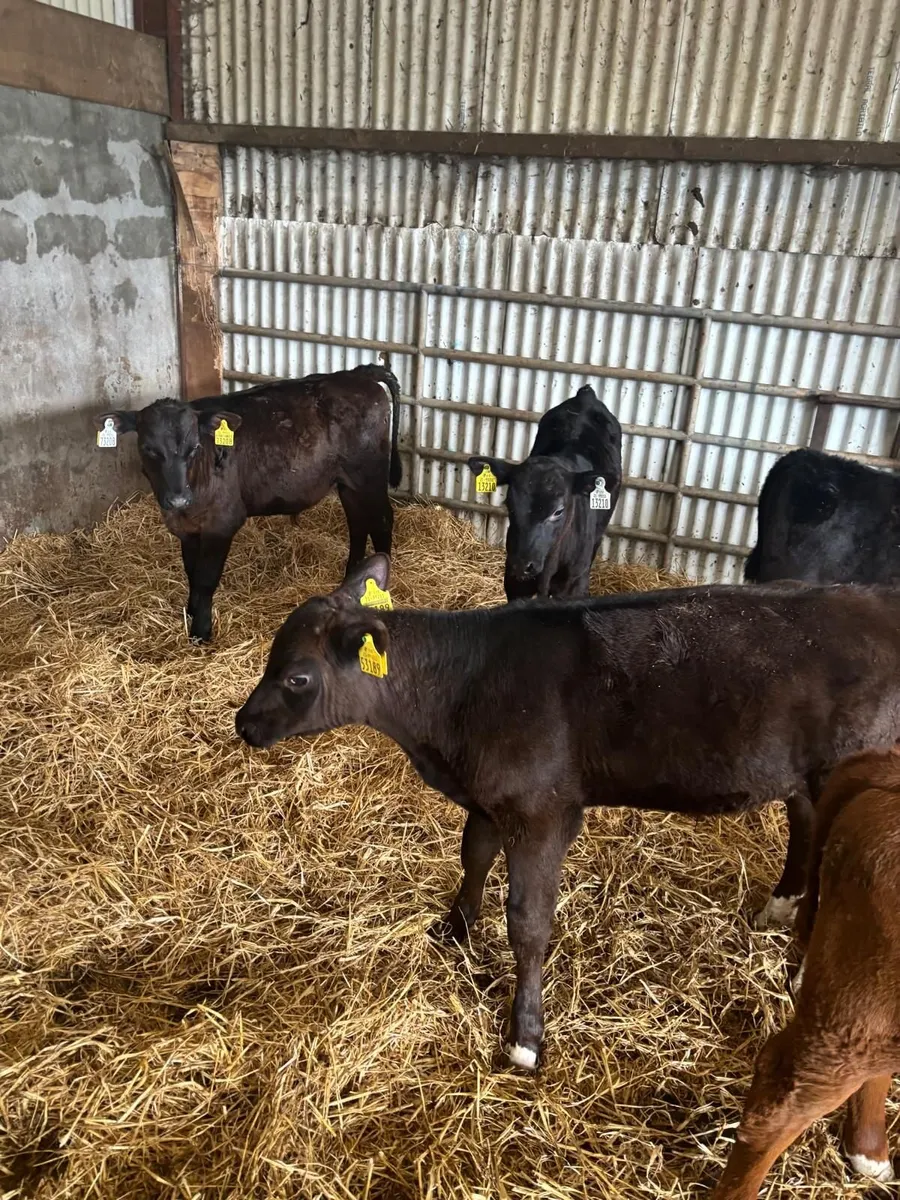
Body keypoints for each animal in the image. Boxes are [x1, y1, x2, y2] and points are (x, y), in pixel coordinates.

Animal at [96, 364, 401, 642]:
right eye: (149, 449)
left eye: (194, 448)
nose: (178, 499)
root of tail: (357, 373)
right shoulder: (188, 529)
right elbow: (191, 572)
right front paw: (191, 612)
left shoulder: (221, 524)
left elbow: (206, 579)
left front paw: (201, 632)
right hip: (347, 481)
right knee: (357, 522)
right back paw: (351, 576)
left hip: (369, 473)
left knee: (382, 520)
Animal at [236, 554, 900, 1071]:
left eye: (297, 677)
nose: (243, 723)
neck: (457, 698)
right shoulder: (490, 797)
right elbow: (473, 857)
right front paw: (452, 932)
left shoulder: (542, 811)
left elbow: (529, 924)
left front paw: (524, 1037)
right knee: (806, 825)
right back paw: (779, 910)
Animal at [466, 385, 622, 601]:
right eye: (509, 504)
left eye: (558, 511)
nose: (523, 565)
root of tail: (585, 395)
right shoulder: (514, 582)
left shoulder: (572, 586)